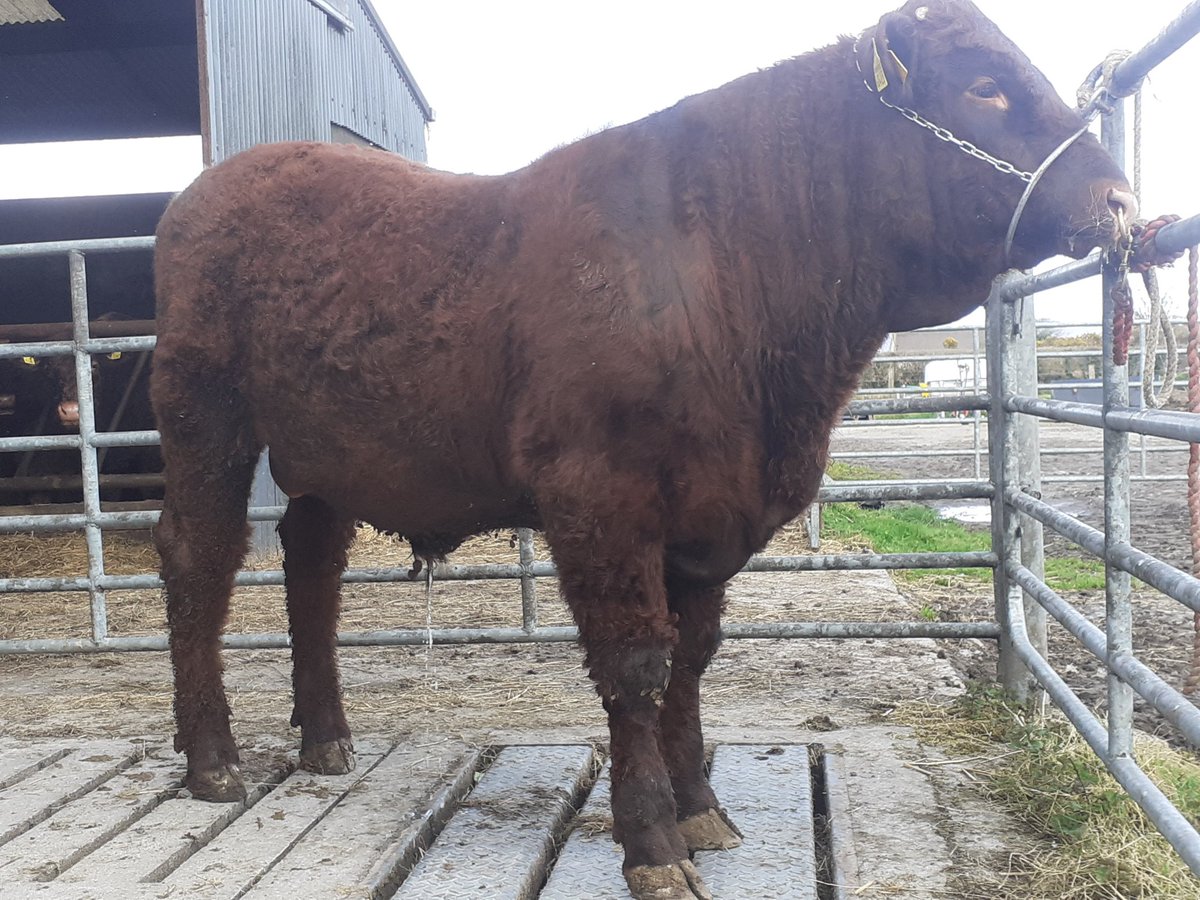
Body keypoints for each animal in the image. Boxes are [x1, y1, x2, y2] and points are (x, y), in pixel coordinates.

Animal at [150, 2, 1135, 896]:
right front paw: (653, 841)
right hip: (205, 417)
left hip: (330, 455)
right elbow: (635, 669)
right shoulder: (600, 502)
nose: (1118, 198)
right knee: (199, 554)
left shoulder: (711, 518)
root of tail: (225, 178)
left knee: (312, 562)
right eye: (985, 86)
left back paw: (325, 738)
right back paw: (212, 757)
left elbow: (690, 659)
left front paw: (702, 807)